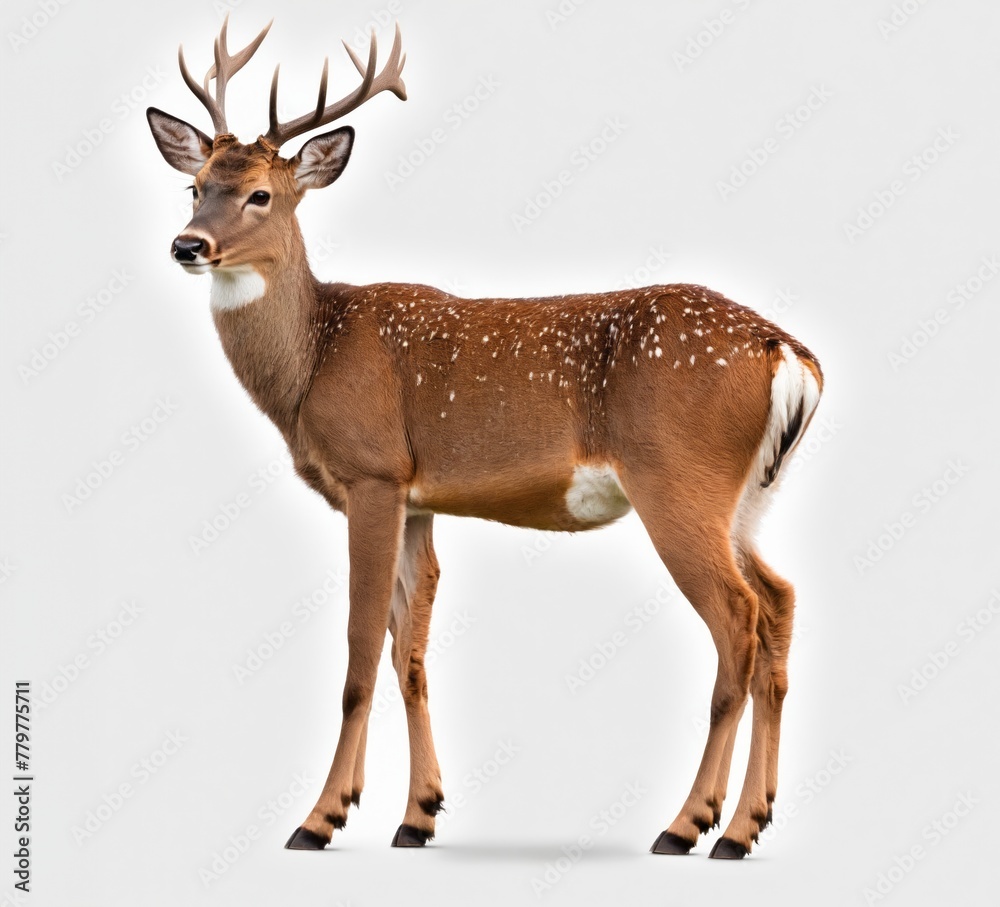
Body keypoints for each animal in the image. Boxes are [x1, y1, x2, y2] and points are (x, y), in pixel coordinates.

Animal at [146, 17, 823, 859]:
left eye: (261, 193)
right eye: (195, 184)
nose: (187, 244)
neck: (312, 357)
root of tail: (787, 354)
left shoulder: (371, 473)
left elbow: (360, 651)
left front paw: (320, 817)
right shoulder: (417, 497)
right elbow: (409, 651)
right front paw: (417, 813)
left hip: (678, 480)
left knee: (738, 620)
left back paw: (691, 824)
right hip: (750, 496)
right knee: (781, 601)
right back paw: (747, 822)